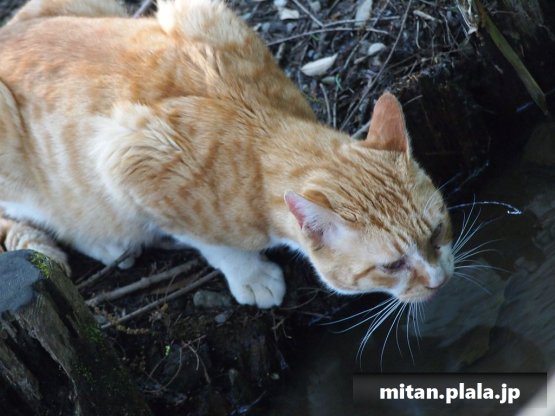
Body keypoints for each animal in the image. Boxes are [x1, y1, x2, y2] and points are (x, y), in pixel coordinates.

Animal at [0, 0, 454, 308]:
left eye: (437, 231)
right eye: (392, 266)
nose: (439, 280)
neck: (262, 131)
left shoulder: (208, 15)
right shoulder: (129, 157)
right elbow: (214, 244)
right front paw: (250, 274)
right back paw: (107, 243)